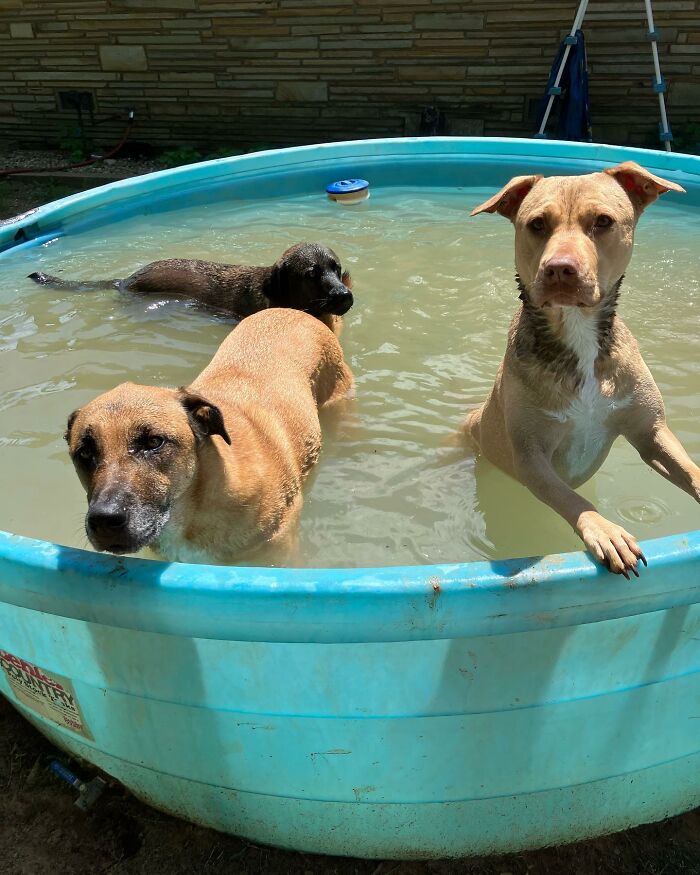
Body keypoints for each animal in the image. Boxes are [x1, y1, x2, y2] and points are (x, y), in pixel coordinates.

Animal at [464, 161, 700, 580]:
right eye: (537, 224)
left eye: (603, 221)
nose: (560, 269)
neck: (578, 337)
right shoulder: (531, 457)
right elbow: (568, 497)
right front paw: (605, 531)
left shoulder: (651, 432)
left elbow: (690, 470)